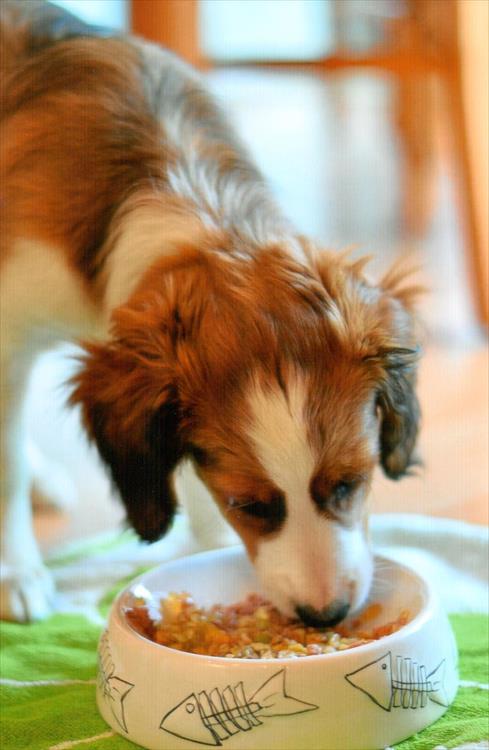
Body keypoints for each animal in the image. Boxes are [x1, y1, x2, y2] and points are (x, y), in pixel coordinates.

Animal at [0, 1, 420, 624]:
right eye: (248, 503)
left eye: (351, 481)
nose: (326, 615)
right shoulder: (9, 331)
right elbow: (5, 466)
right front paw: (16, 572)